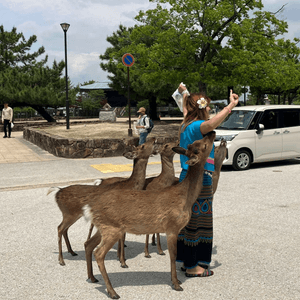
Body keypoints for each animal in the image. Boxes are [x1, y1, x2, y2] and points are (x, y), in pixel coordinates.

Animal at [49, 137, 157, 266]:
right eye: (143, 146)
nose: (154, 138)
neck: (130, 186)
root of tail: (57, 193)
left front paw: (120, 258)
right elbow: (122, 237)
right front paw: (123, 261)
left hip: (72, 214)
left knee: (64, 229)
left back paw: (72, 252)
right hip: (69, 213)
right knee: (60, 228)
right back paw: (61, 260)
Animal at [84, 132, 216, 300]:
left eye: (196, 143)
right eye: (203, 145)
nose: (212, 133)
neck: (185, 197)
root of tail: (90, 207)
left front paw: (177, 280)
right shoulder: (172, 226)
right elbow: (173, 255)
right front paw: (176, 284)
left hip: (103, 227)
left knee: (88, 244)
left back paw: (92, 278)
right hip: (111, 228)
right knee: (98, 253)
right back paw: (112, 291)